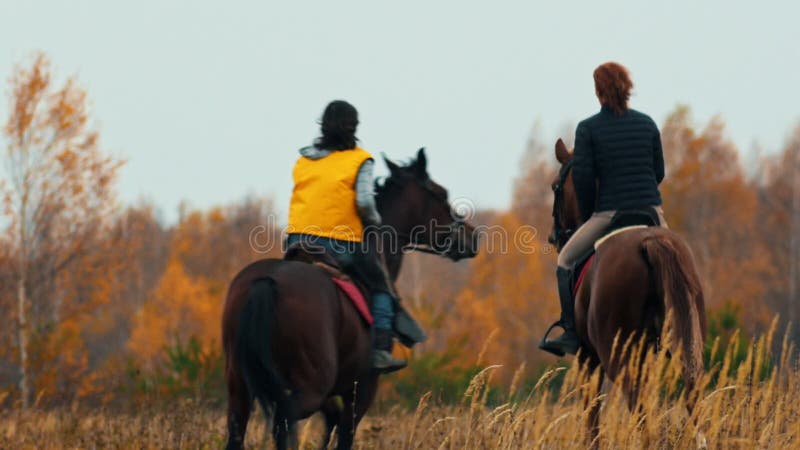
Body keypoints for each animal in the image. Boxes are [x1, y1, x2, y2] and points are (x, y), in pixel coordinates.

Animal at [222, 149, 478, 448]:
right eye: (440, 194)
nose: (472, 236)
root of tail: (266, 281)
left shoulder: (331, 392)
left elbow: (332, 420)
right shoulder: (362, 388)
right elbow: (345, 433)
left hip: (241, 387)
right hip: (309, 387)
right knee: (283, 421)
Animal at [552, 140, 708, 446]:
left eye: (555, 187)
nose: (554, 236)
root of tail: (651, 242)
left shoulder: (587, 358)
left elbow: (591, 418)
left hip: (617, 358)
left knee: (641, 414)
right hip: (683, 348)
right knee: (692, 397)